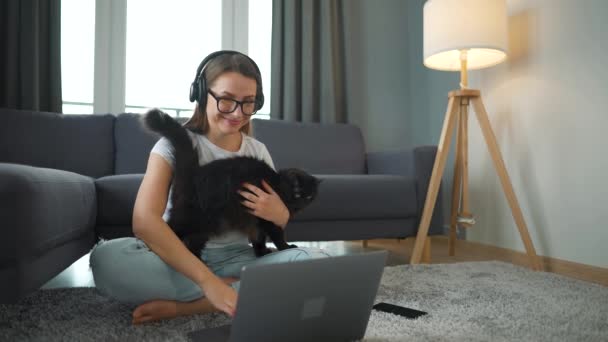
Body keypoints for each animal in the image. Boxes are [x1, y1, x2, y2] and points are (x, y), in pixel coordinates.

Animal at [144, 109, 320, 256]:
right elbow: (277, 236)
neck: (275, 182)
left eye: (309, 197)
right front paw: (286, 247)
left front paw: (262, 252)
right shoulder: (266, 218)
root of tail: (194, 171)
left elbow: (258, 239)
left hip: (204, 228)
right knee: (166, 228)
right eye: (296, 191)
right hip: (192, 218)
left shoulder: (257, 221)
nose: (301, 202)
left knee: (190, 246)